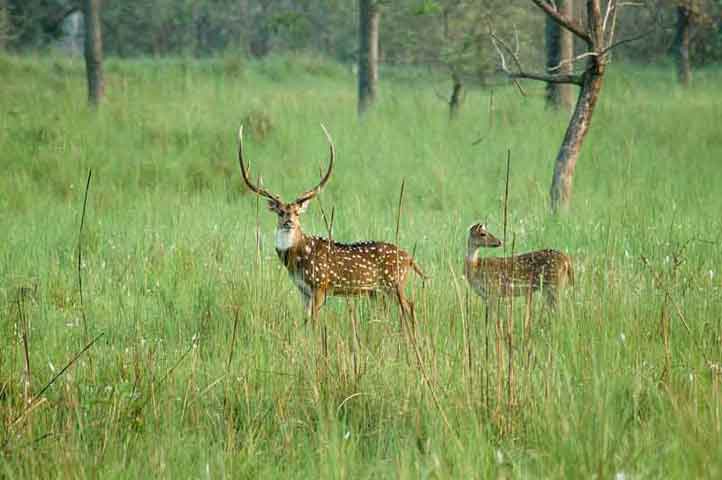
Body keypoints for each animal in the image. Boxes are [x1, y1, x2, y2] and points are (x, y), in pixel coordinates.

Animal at [236, 124, 424, 322]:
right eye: (280, 212)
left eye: (297, 213)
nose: (289, 222)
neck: (295, 258)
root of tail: (409, 258)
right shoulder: (302, 290)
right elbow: (305, 320)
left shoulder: (320, 284)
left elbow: (315, 320)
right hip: (381, 289)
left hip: (393, 283)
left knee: (410, 306)